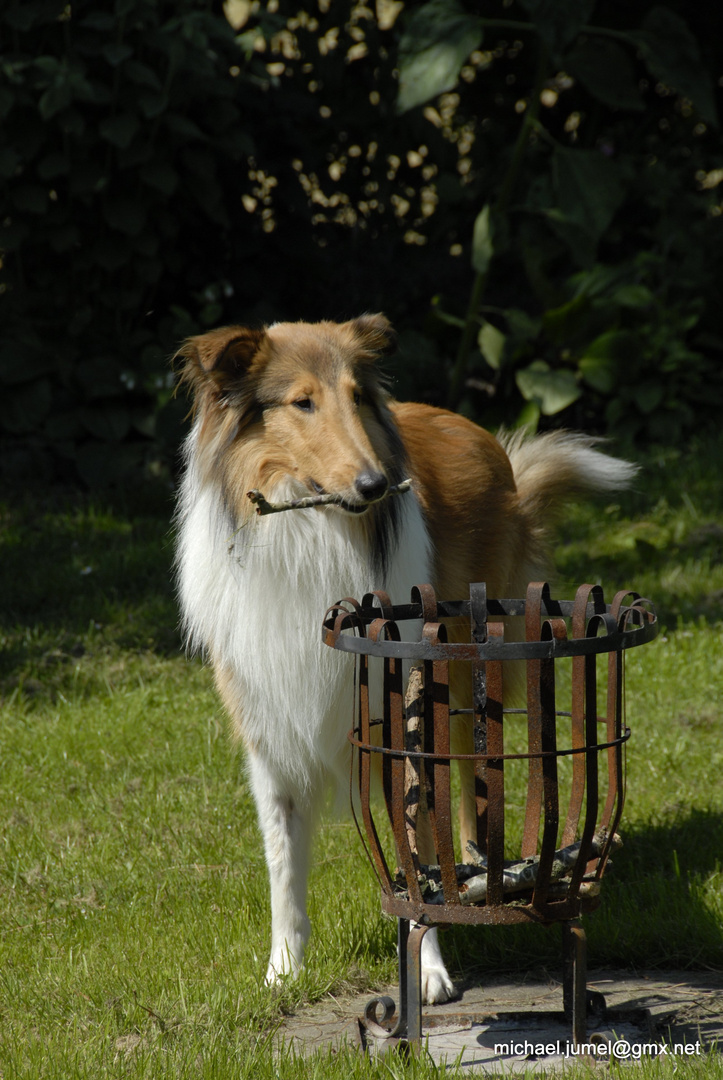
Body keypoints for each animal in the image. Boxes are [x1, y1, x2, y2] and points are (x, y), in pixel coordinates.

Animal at [176, 313, 635, 1002]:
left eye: (356, 397)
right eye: (302, 402)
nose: (373, 485)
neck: (309, 536)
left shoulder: (408, 714)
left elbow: (419, 843)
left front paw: (431, 969)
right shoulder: (268, 726)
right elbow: (283, 858)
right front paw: (283, 970)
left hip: (475, 673)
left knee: (473, 784)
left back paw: (483, 873)